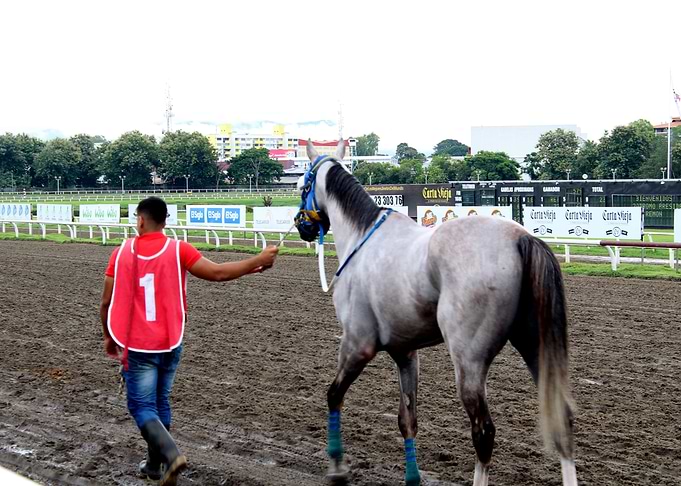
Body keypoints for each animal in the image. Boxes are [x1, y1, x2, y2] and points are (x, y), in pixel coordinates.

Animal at [295, 140, 577, 486]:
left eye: (302, 184)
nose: (301, 225)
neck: (362, 239)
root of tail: (521, 237)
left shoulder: (357, 344)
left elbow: (333, 395)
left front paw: (337, 466)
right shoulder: (405, 352)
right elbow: (407, 420)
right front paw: (412, 478)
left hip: (469, 361)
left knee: (484, 432)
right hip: (535, 346)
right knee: (563, 418)